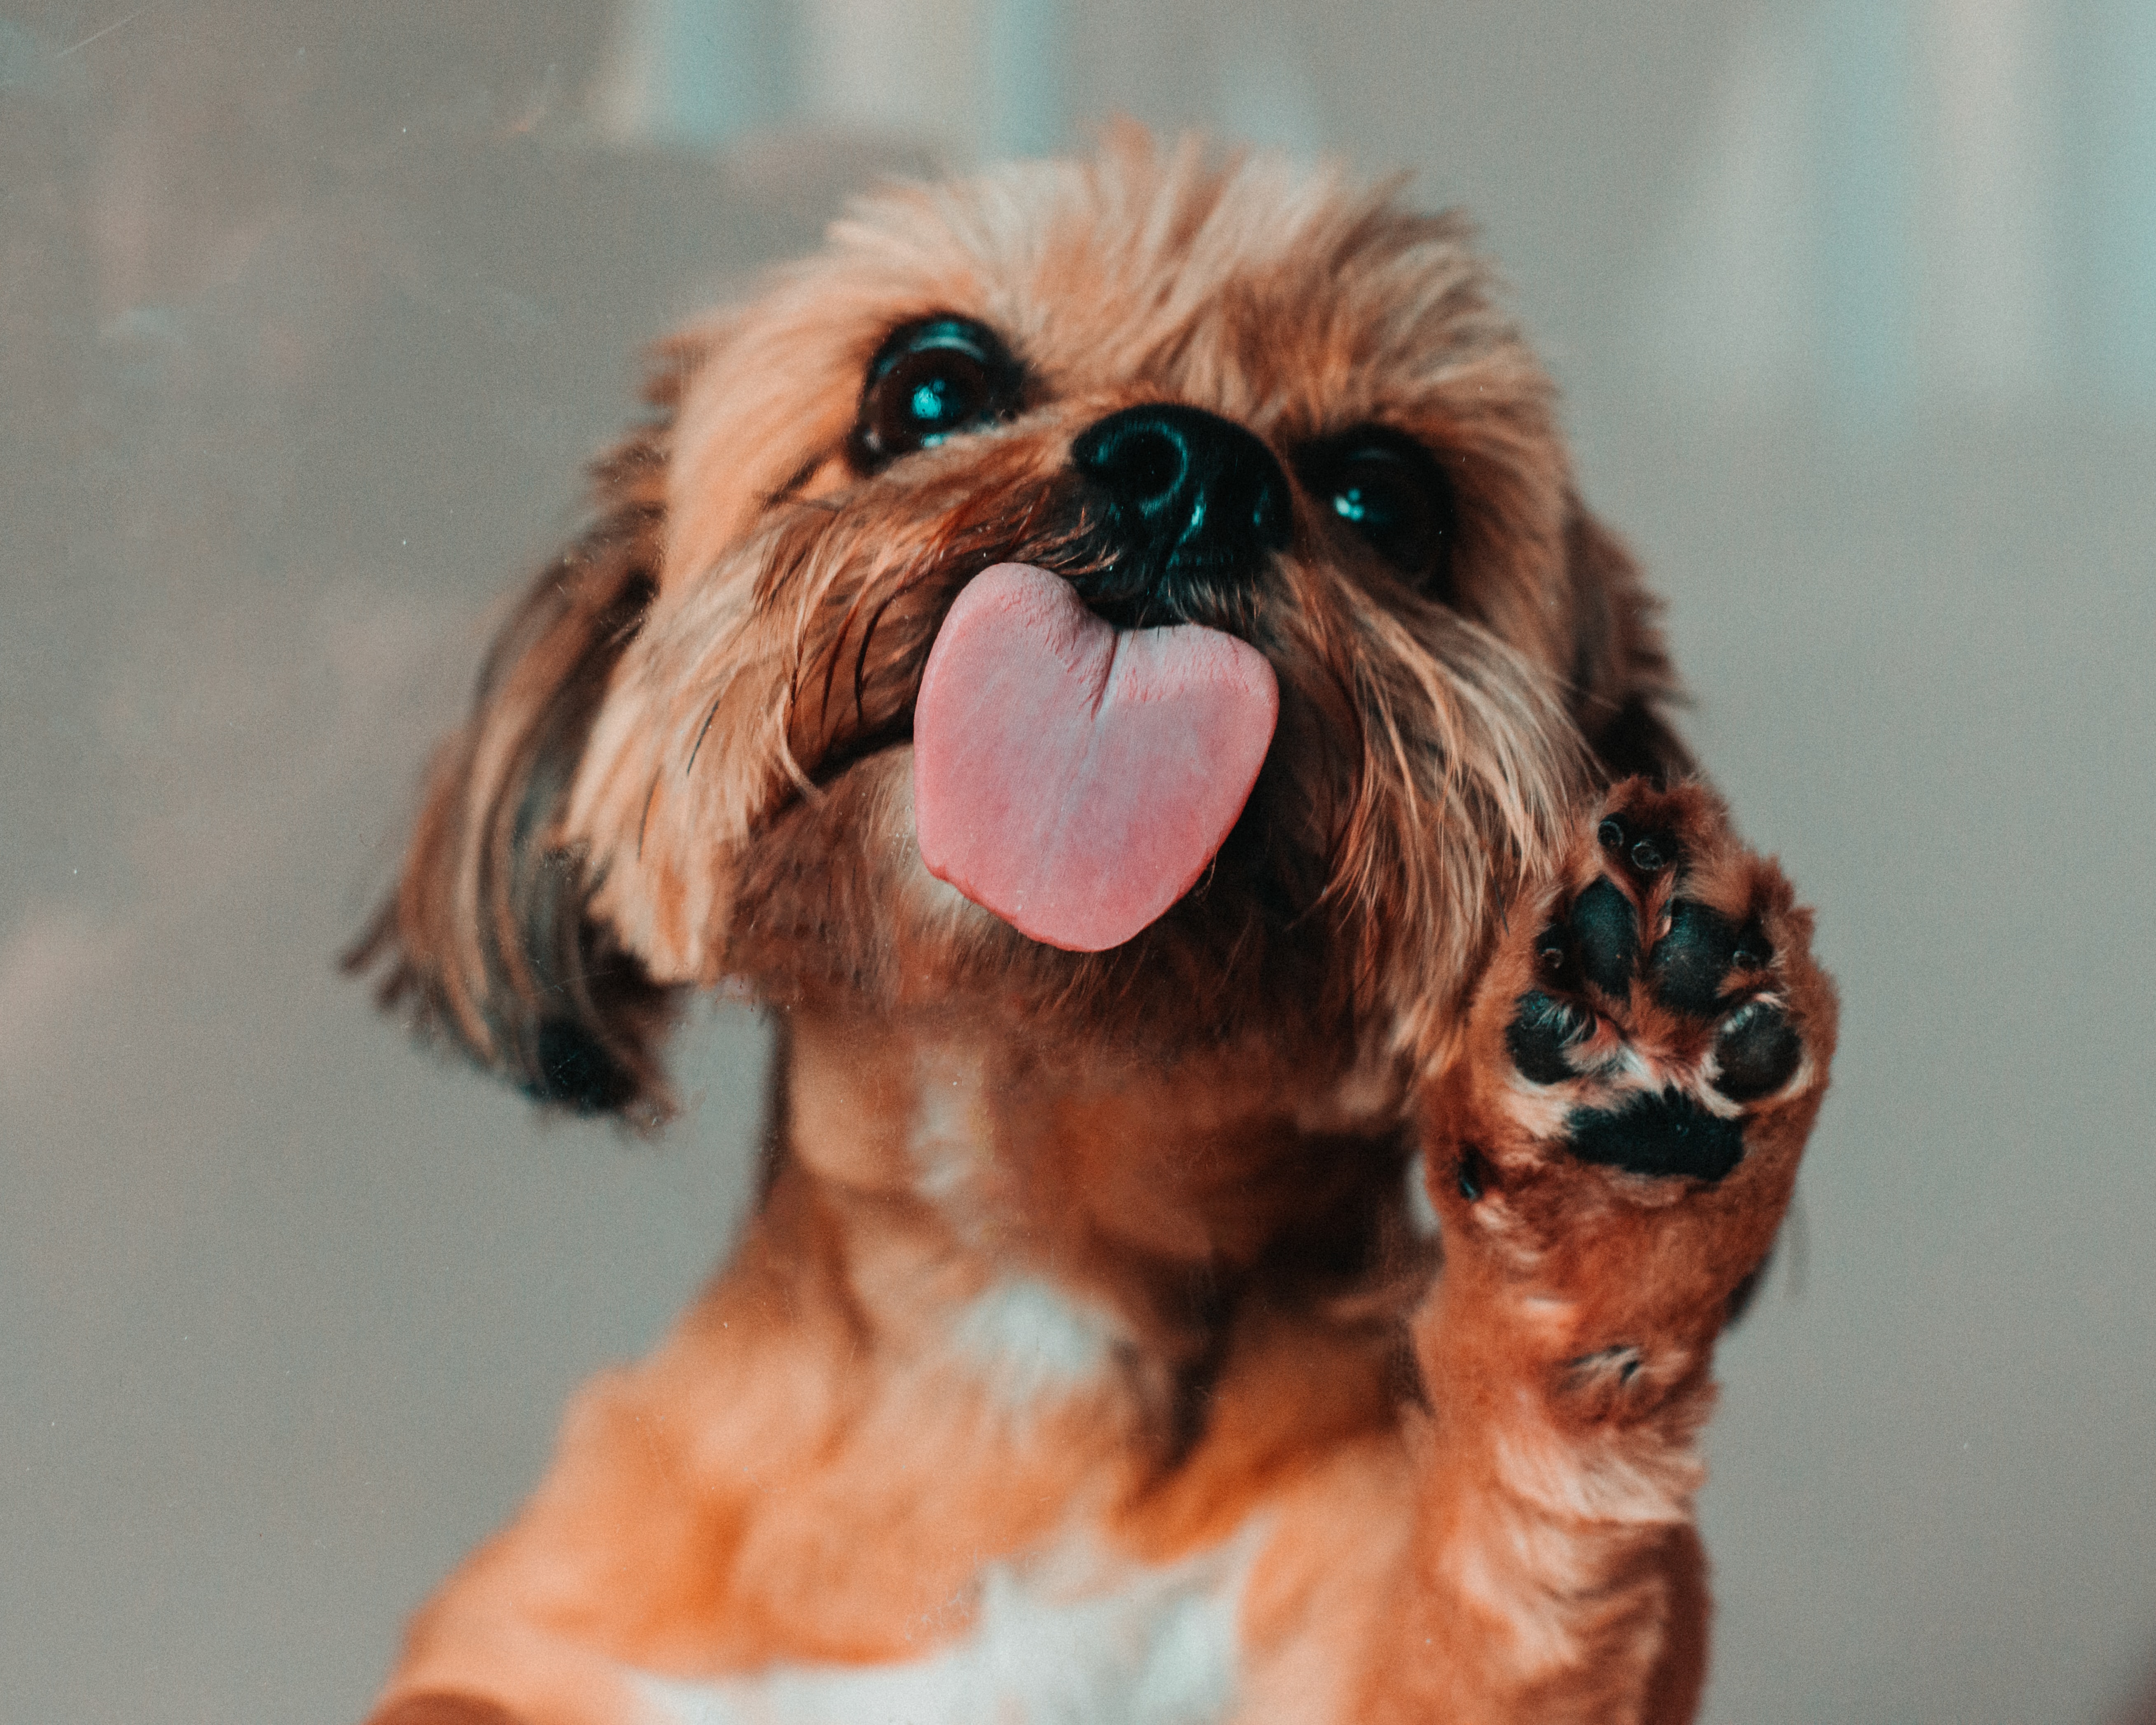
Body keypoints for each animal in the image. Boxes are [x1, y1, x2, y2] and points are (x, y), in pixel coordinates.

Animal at [353, 131, 1837, 1725]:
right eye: (926, 388)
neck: (1024, 1281)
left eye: (1388, 498)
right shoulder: (540, 1649)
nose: (1193, 464)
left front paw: (1624, 1191)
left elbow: (1502, 1575)